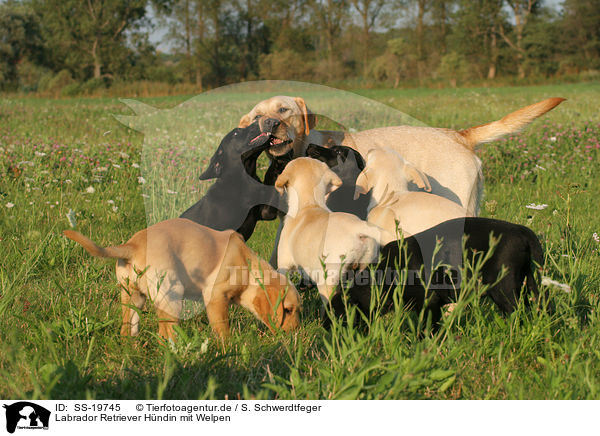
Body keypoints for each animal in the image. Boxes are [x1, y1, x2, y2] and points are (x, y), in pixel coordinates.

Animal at [326, 216, 552, 332]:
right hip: (526, 282)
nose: (327, 330)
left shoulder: (429, 304)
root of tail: (523, 231)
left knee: (518, 313)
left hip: (503, 289)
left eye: (338, 315)